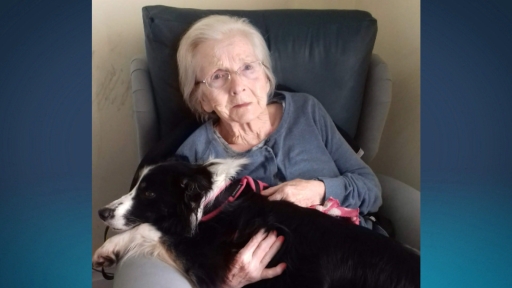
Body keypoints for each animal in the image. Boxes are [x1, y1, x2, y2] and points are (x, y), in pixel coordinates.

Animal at [92, 159, 420, 286]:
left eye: (148, 193)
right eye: (136, 186)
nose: (102, 213)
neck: (212, 202)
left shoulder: (207, 261)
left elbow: (149, 229)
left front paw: (107, 248)